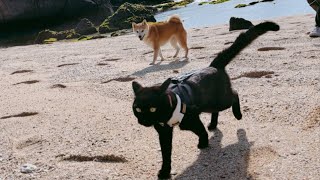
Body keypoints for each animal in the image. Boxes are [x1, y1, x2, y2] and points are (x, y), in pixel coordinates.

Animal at [131, 21, 278, 179]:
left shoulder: (192, 118)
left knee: (235, 94)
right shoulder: (164, 132)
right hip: (209, 104)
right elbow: (166, 154)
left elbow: (201, 131)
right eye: (137, 109)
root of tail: (213, 66)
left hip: (221, 100)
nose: (143, 120)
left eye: (153, 108)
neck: (166, 117)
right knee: (216, 111)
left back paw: (238, 115)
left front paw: (203, 143)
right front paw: (165, 171)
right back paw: (213, 124)